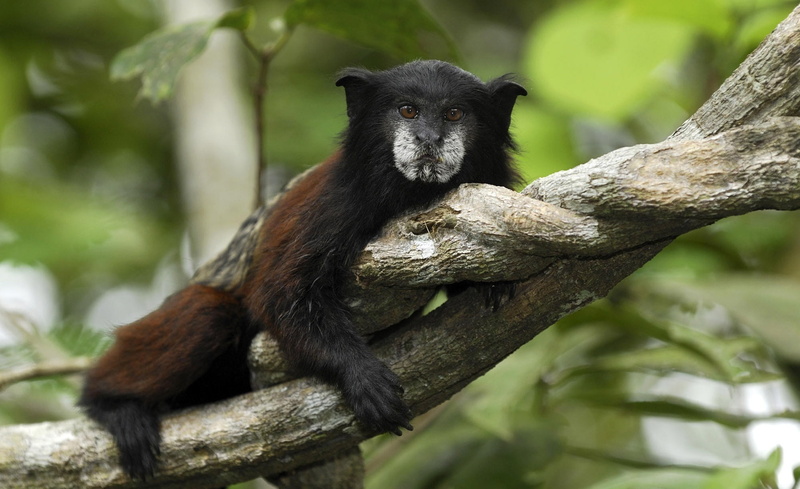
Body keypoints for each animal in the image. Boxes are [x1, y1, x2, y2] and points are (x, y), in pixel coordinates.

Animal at [79, 59, 526, 481]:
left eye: (453, 114)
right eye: (408, 110)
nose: (429, 139)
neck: (411, 193)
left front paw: (492, 284)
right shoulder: (332, 204)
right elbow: (279, 294)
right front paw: (360, 376)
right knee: (208, 313)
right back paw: (113, 404)